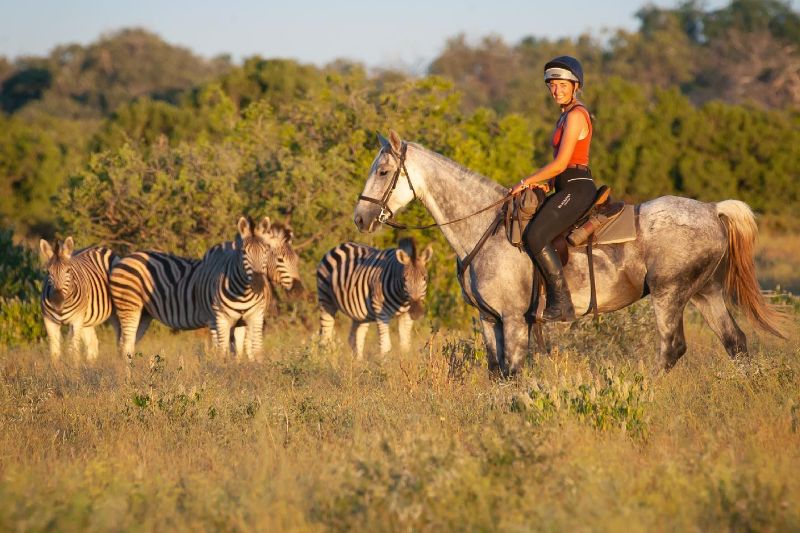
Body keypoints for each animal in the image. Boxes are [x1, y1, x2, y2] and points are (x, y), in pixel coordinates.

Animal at [353, 131, 785, 376]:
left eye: (383, 171)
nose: (361, 217)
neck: (483, 228)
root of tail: (712, 210)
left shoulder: (514, 320)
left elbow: (513, 372)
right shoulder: (488, 320)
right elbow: (496, 372)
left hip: (669, 295)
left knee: (672, 349)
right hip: (705, 293)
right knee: (736, 343)